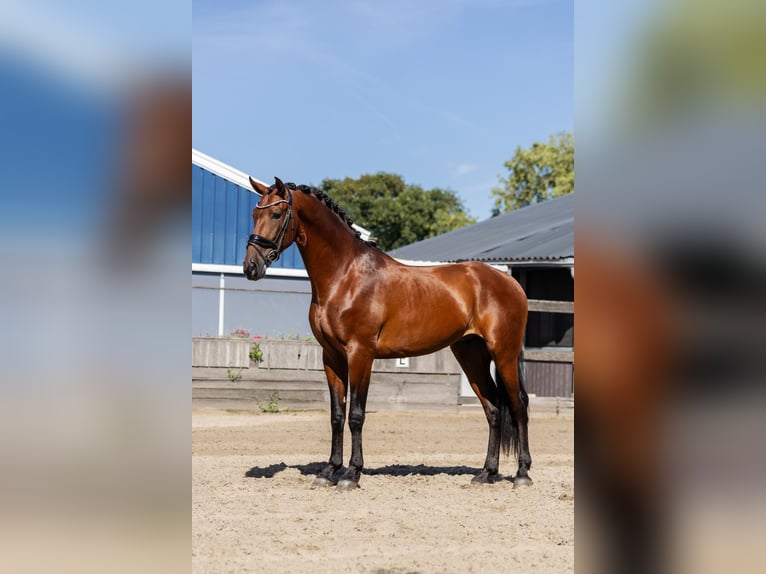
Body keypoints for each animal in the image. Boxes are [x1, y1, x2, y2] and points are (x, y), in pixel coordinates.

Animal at [243, 177, 531, 491]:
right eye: (254, 214)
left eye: (276, 214)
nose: (251, 266)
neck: (346, 276)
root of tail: (510, 282)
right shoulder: (331, 357)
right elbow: (336, 415)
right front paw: (329, 471)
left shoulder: (360, 354)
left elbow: (356, 415)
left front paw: (351, 474)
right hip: (471, 355)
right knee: (493, 408)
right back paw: (486, 473)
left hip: (503, 354)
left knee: (518, 406)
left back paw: (522, 474)